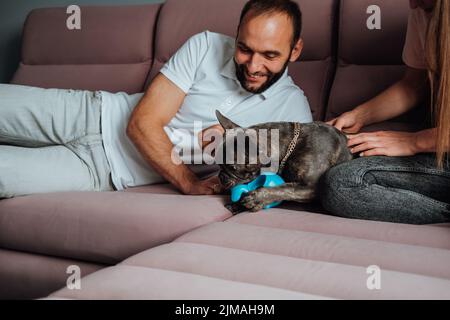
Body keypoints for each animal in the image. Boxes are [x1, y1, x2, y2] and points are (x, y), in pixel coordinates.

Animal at [214, 110, 356, 215]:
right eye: (218, 164)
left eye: (233, 167)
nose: (221, 177)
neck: (290, 146)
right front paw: (237, 204)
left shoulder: (312, 187)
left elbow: (285, 189)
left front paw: (257, 199)